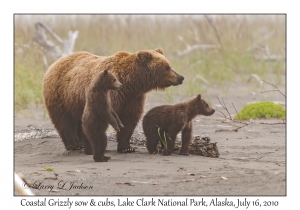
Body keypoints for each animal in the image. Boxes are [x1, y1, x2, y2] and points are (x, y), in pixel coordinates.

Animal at [42, 48, 183, 153]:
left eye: (170, 65)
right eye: (167, 67)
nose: (181, 77)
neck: (130, 84)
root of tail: (55, 63)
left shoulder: (132, 99)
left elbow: (129, 120)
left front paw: (127, 147)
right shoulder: (110, 93)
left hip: (74, 102)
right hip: (59, 95)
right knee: (64, 121)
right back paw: (75, 145)